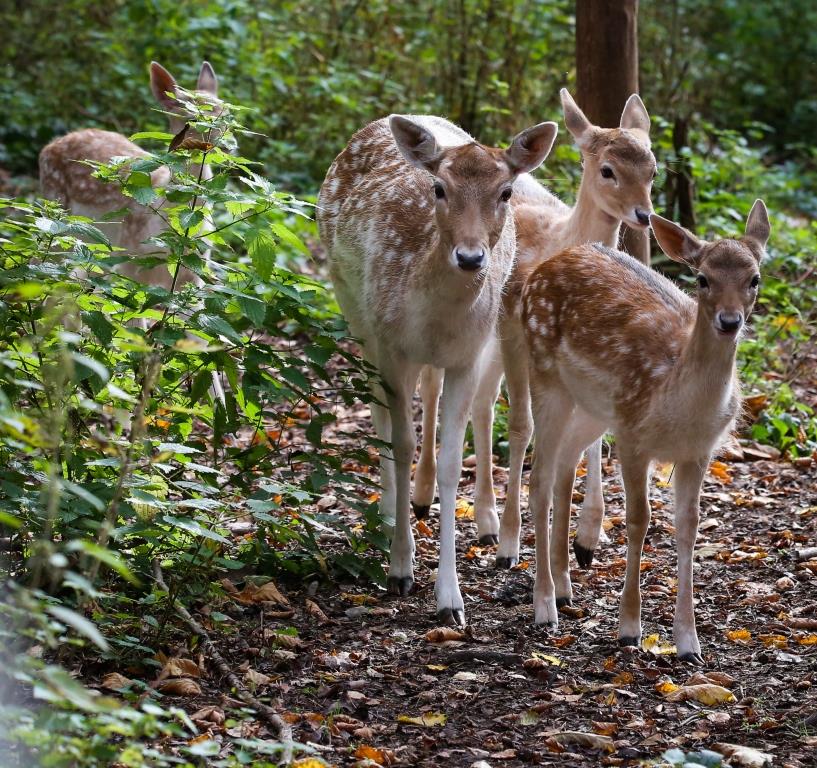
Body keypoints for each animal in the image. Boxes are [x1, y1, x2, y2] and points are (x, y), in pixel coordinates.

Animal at [316, 114, 556, 624]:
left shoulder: (468, 354)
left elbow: (451, 462)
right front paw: (400, 569)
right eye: (439, 188)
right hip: (352, 306)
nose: (470, 257)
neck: (435, 318)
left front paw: (451, 598)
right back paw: (389, 514)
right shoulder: (391, 344)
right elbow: (402, 441)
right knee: (377, 414)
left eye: (506, 191)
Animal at [414, 91, 656, 568]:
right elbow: (522, 425)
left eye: (653, 169)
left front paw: (587, 538)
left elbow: (591, 438)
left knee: (482, 401)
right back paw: (424, 498)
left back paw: (484, 521)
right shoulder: (513, 329)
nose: (645, 215)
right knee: (434, 385)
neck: (555, 242)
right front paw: (511, 544)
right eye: (608, 170)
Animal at [520, 202, 768, 660]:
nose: (729, 321)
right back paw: (545, 604)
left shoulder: (698, 451)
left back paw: (564, 586)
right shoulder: (634, 437)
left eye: (754, 278)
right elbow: (640, 518)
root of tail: (550, 263)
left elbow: (688, 525)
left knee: (565, 463)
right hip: (545, 374)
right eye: (703, 279)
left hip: (597, 408)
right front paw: (629, 629)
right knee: (539, 478)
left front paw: (688, 642)